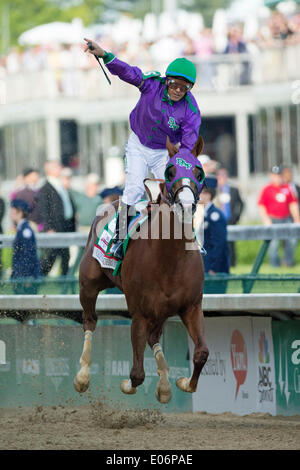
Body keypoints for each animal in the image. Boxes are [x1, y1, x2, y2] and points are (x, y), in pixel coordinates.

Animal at [74, 137, 209, 404]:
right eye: (170, 171)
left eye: (199, 171)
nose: (187, 204)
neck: (170, 259)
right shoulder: (139, 313)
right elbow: (136, 374)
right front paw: (127, 384)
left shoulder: (191, 306)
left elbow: (201, 353)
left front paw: (182, 382)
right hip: (89, 284)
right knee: (90, 321)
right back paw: (82, 376)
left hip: (161, 311)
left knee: (154, 337)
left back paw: (165, 386)